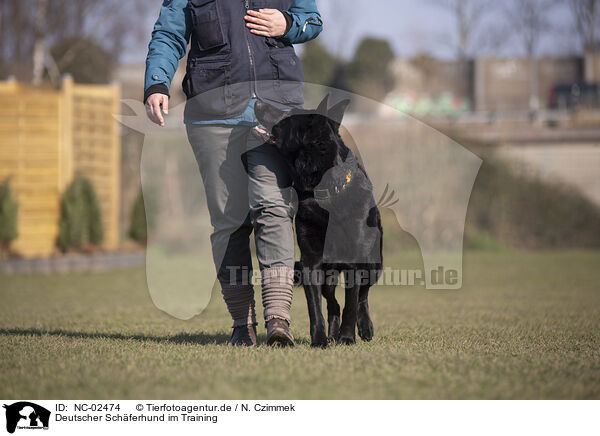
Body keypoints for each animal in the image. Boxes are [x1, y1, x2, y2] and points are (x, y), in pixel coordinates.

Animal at [254, 96, 384, 348]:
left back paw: (364, 328)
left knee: (362, 298)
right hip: (328, 275)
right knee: (333, 303)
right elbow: (315, 308)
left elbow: (351, 304)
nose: (256, 103)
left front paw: (347, 337)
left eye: (287, 115)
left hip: (373, 265)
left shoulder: (354, 263)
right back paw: (332, 334)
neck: (326, 191)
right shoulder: (311, 262)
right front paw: (319, 340)